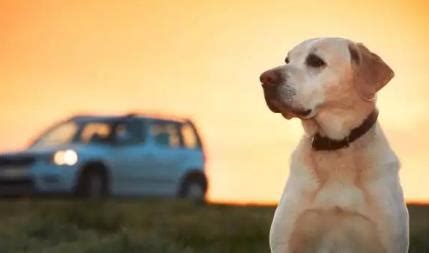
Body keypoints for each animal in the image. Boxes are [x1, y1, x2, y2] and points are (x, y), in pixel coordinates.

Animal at [260, 38, 408, 253]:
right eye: (287, 60)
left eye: (315, 61)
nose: (264, 78)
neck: (335, 145)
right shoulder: (286, 241)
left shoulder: (389, 239)